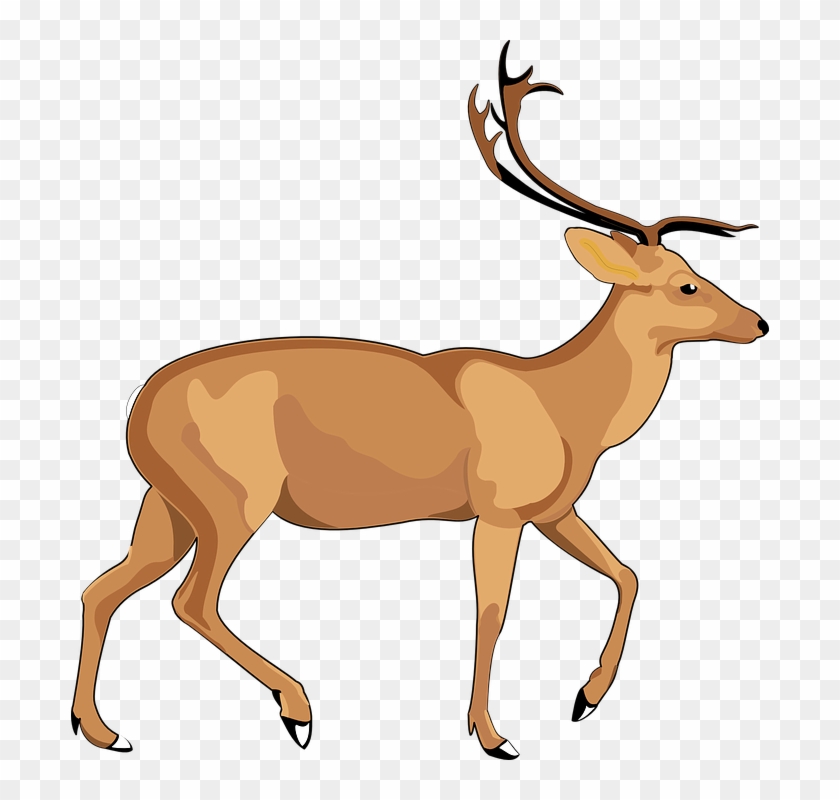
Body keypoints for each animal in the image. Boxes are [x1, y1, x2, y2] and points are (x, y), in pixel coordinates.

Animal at [71, 41, 766, 760]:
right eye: (687, 285)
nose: (759, 323)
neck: (566, 407)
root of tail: (137, 412)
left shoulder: (552, 510)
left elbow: (626, 572)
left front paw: (584, 700)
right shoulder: (500, 509)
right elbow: (494, 612)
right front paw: (493, 736)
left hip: (168, 504)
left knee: (102, 588)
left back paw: (102, 730)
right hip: (233, 499)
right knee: (191, 600)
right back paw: (298, 710)